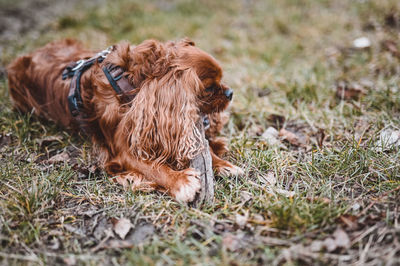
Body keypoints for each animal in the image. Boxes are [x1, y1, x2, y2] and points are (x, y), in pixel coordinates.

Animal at [7, 38, 244, 202]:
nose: (230, 92)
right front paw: (180, 181)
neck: (129, 84)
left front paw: (223, 164)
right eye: (209, 88)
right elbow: (152, 167)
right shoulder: (122, 151)